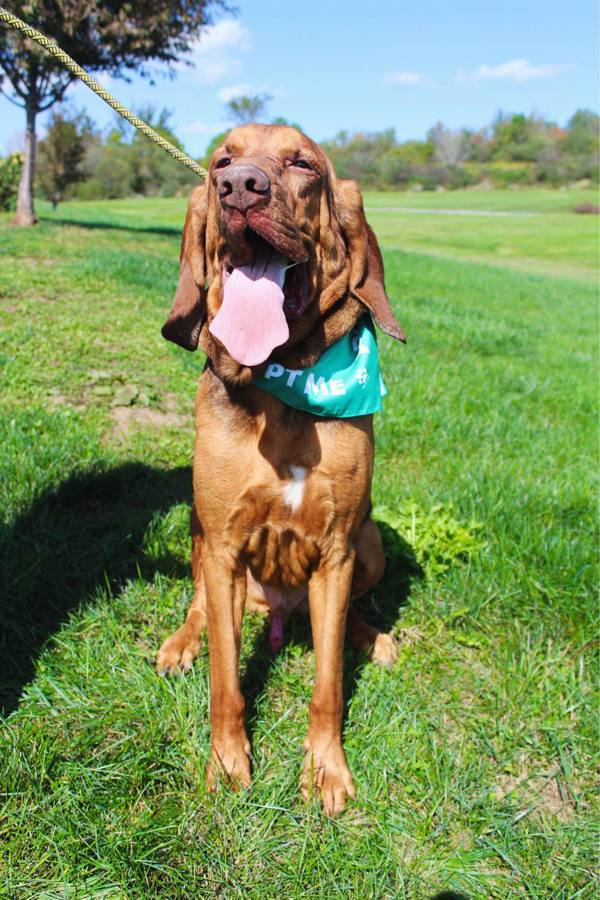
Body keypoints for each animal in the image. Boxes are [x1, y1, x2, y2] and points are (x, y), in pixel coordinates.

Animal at [157, 121, 406, 816]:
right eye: (222, 160)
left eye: (303, 165)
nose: (240, 187)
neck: (284, 380)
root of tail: (278, 615)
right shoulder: (221, 543)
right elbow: (226, 683)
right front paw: (227, 764)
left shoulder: (338, 548)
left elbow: (327, 686)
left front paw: (326, 770)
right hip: (199, 538)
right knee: (201, 605)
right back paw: (181, 643)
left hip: (370, 544)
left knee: (346, 616)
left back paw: (372, 636)